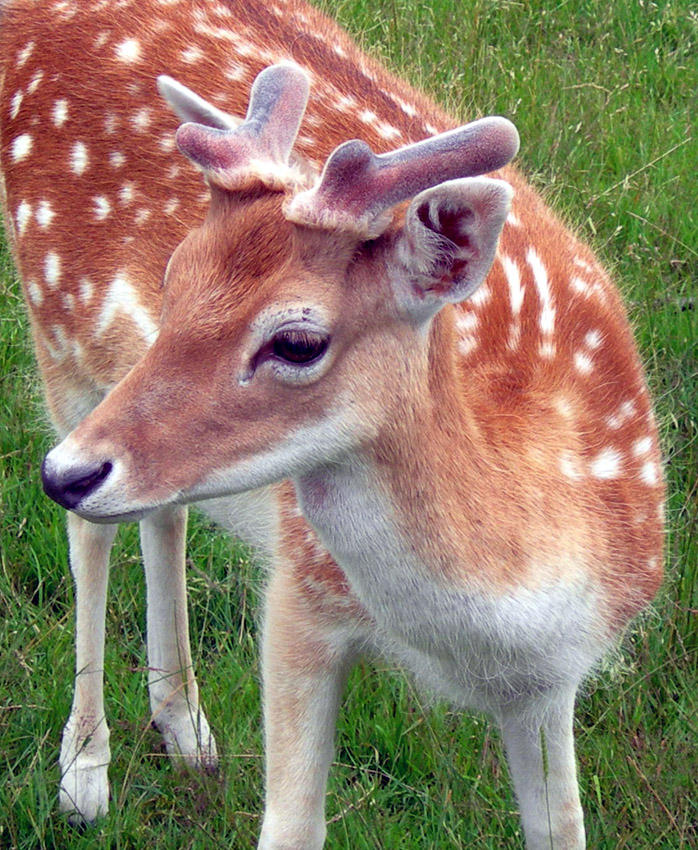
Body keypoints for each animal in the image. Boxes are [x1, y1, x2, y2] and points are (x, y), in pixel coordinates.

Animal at [1, 0, 664, 844]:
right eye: (171, 277)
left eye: (297, 341)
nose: (66, 474)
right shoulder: (299, 592)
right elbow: (291, 828)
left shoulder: (551, 680)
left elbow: (562, 828)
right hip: (58, 334)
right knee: (91, 535)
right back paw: (85, 771)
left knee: (160, 513)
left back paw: (186, 728)